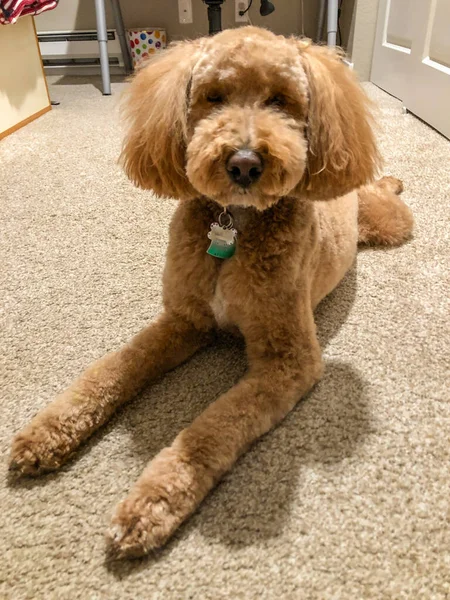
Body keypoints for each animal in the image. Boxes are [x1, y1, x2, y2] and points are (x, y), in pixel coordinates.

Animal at [7, 25, 414, 560]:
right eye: (213, 97)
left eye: (280, 100)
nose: (244, 162)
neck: (235, 224)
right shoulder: (184, 321)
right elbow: (111, 370)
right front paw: (46, 432)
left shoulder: (288, 361)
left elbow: (213, 427)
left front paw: (151, 502)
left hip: (387, 222)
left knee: (386, 195)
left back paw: (393, 181)